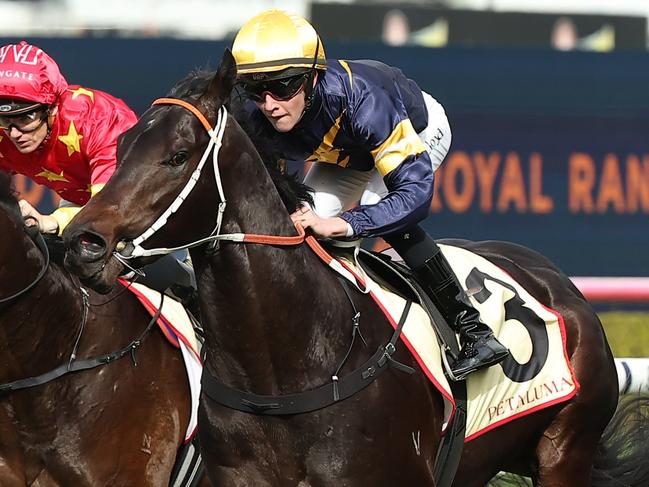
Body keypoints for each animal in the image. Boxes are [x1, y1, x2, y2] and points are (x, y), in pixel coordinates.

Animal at [62, 50, 648, 487]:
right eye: (121, 145)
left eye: (178, 154)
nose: (82, 242)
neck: (284, 366)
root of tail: (560, 284)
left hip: (565, 451)